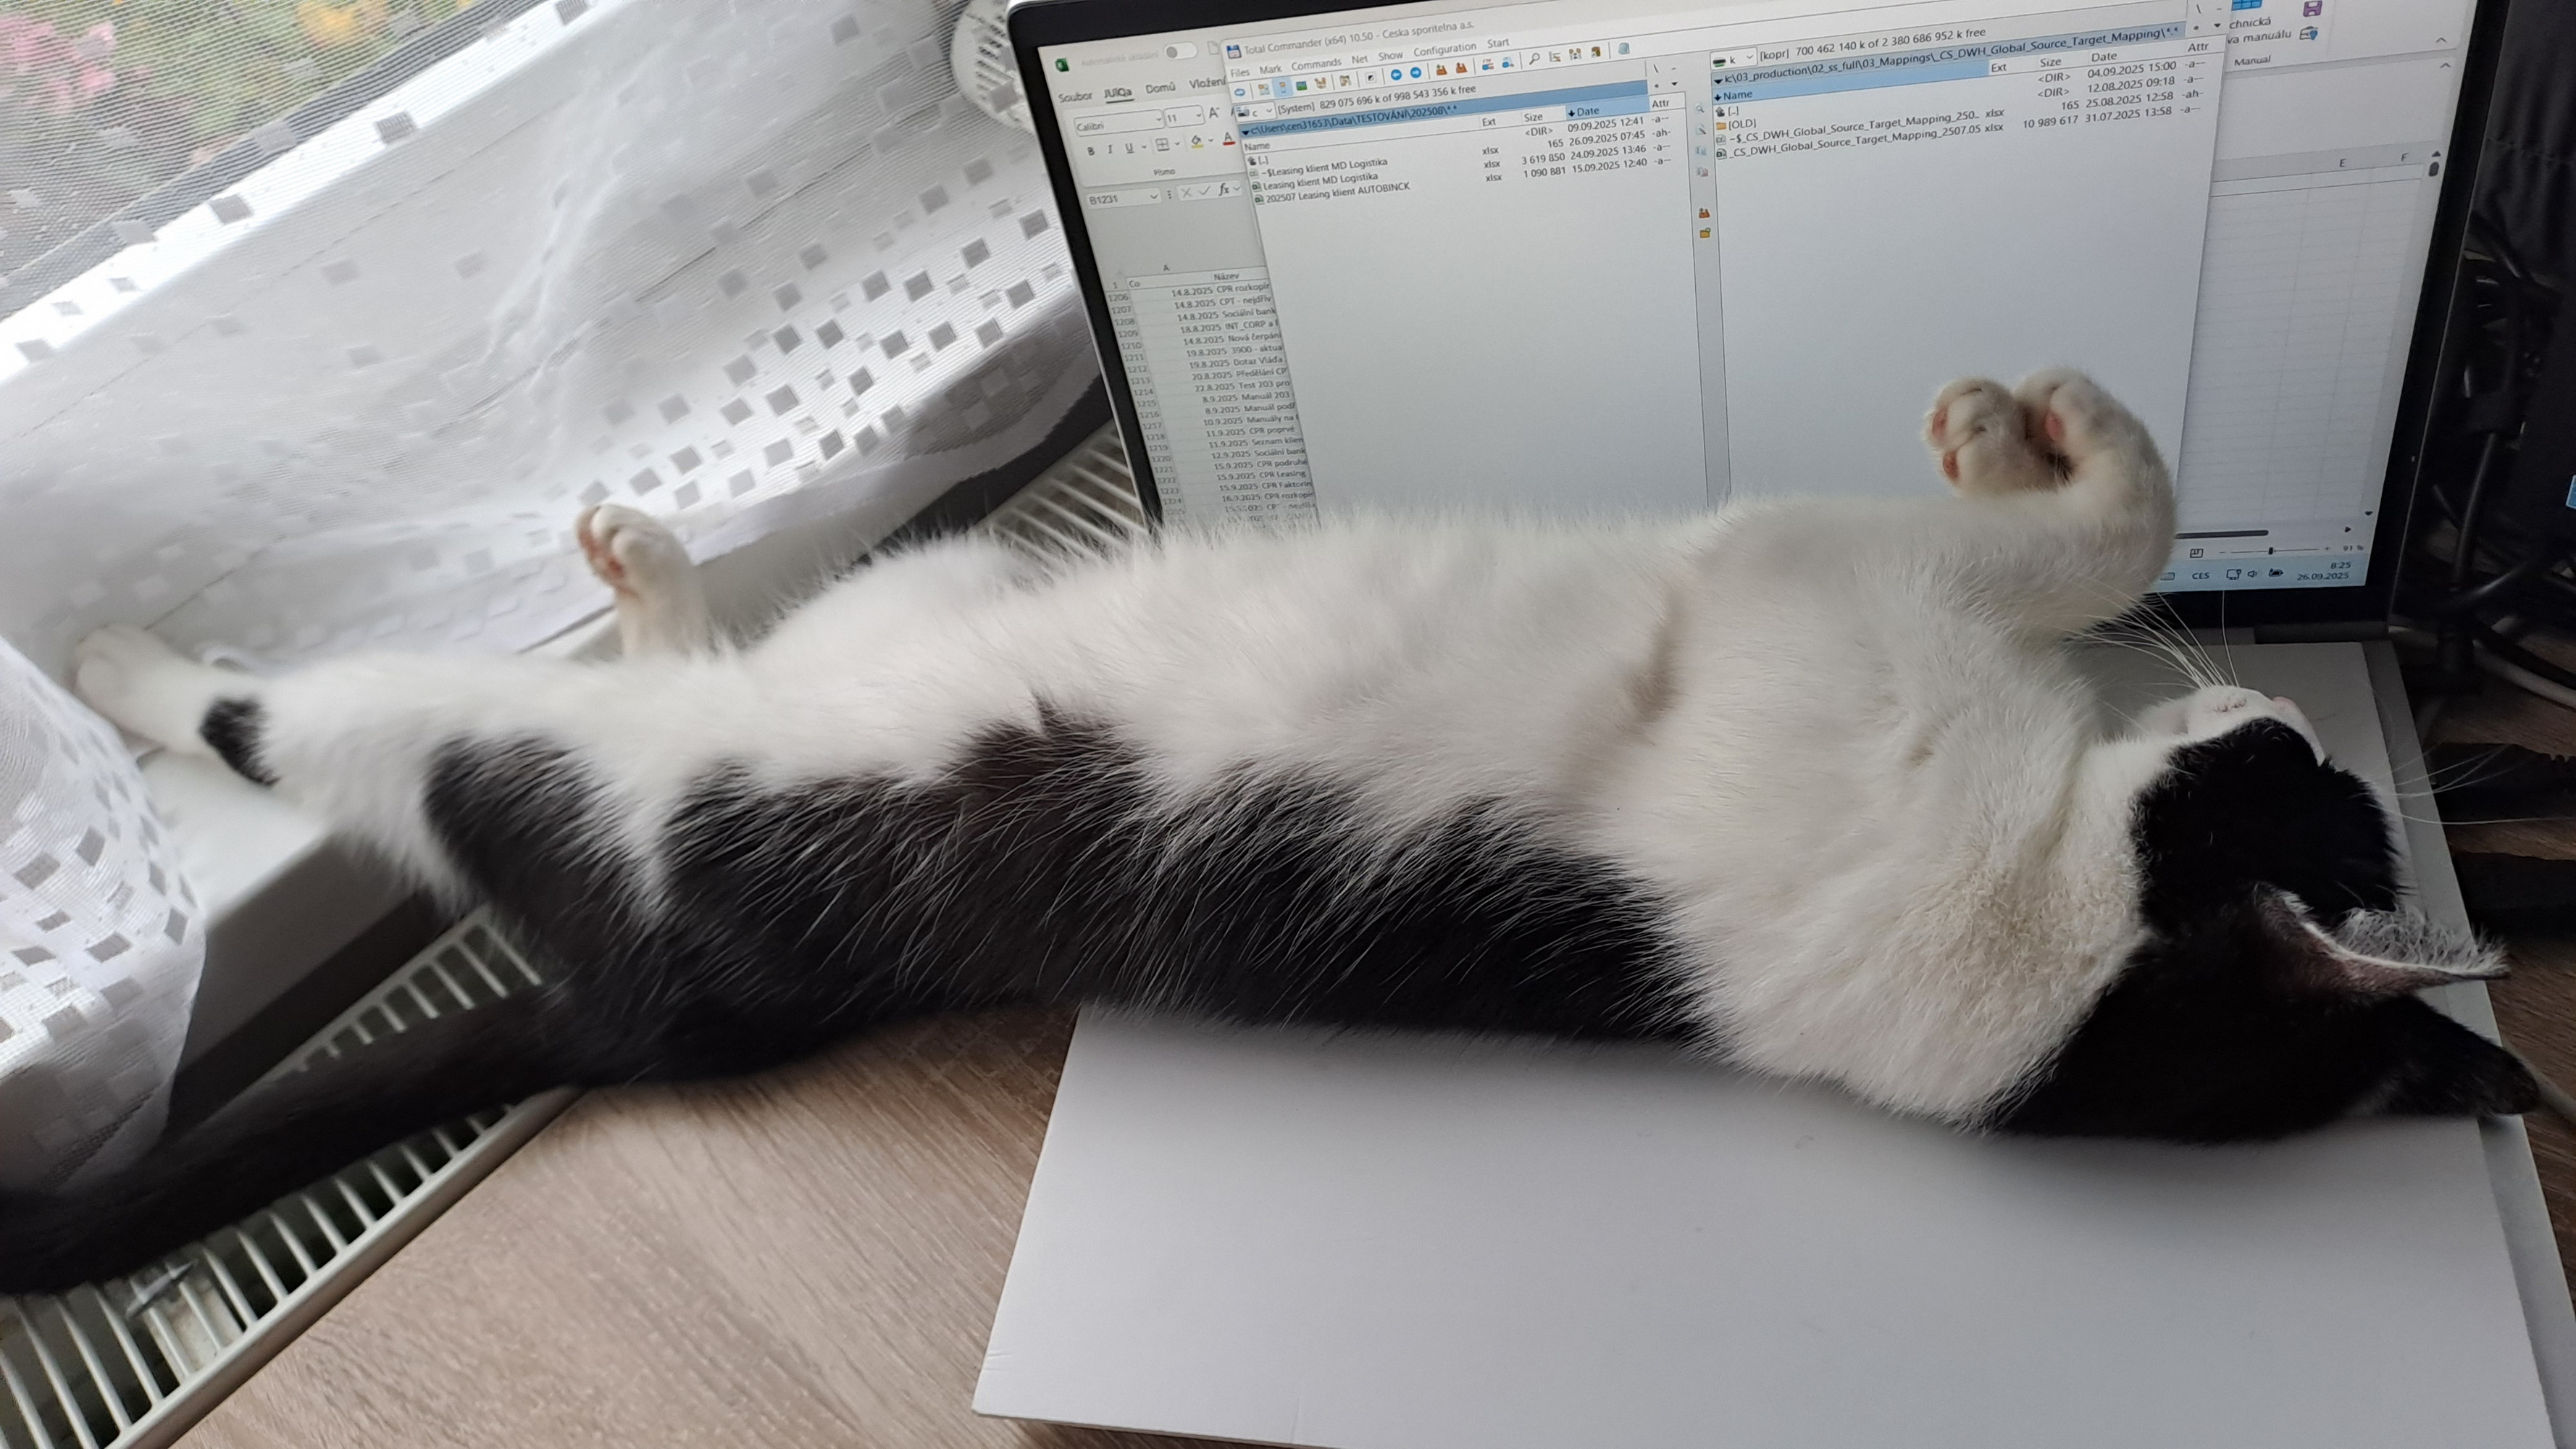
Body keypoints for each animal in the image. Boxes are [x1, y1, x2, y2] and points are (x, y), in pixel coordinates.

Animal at [2, 369, 2537, 1294]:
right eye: (2330, 785)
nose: (2270, 706)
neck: (2044, 953)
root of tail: (649, 1012)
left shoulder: (1804, 579)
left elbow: (2110, 523)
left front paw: (2061, 442)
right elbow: (2101, 546)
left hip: (576, 768)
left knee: (295, 723)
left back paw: (108, 667)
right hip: (899, 606)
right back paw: (640, 570)